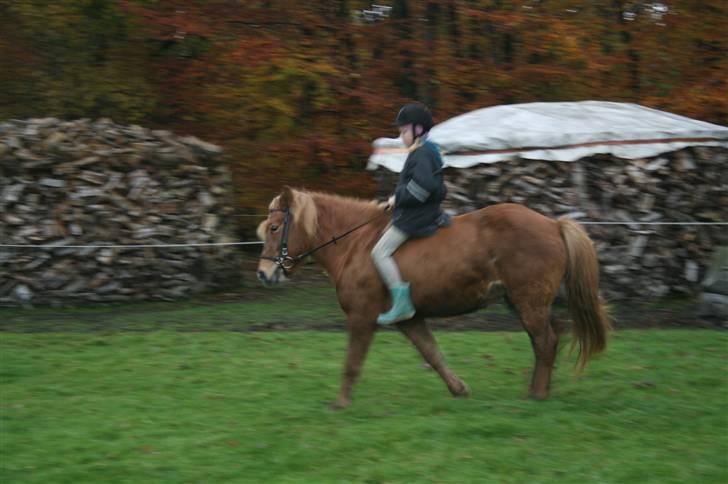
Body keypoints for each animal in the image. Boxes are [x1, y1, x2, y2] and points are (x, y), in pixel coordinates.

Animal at [256, 186, 608, 408]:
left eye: (274, 228)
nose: (263, 274)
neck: (355, 244)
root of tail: (553, 224)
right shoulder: (411, 319)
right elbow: (433, 354)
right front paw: (459, 389)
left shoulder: (361, 317)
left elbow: (352, 362)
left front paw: (340, 403)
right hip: (524, 302)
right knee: (547, 339)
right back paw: (541, 390)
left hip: (529, 302)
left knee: (545, 341)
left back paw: (536, 395)